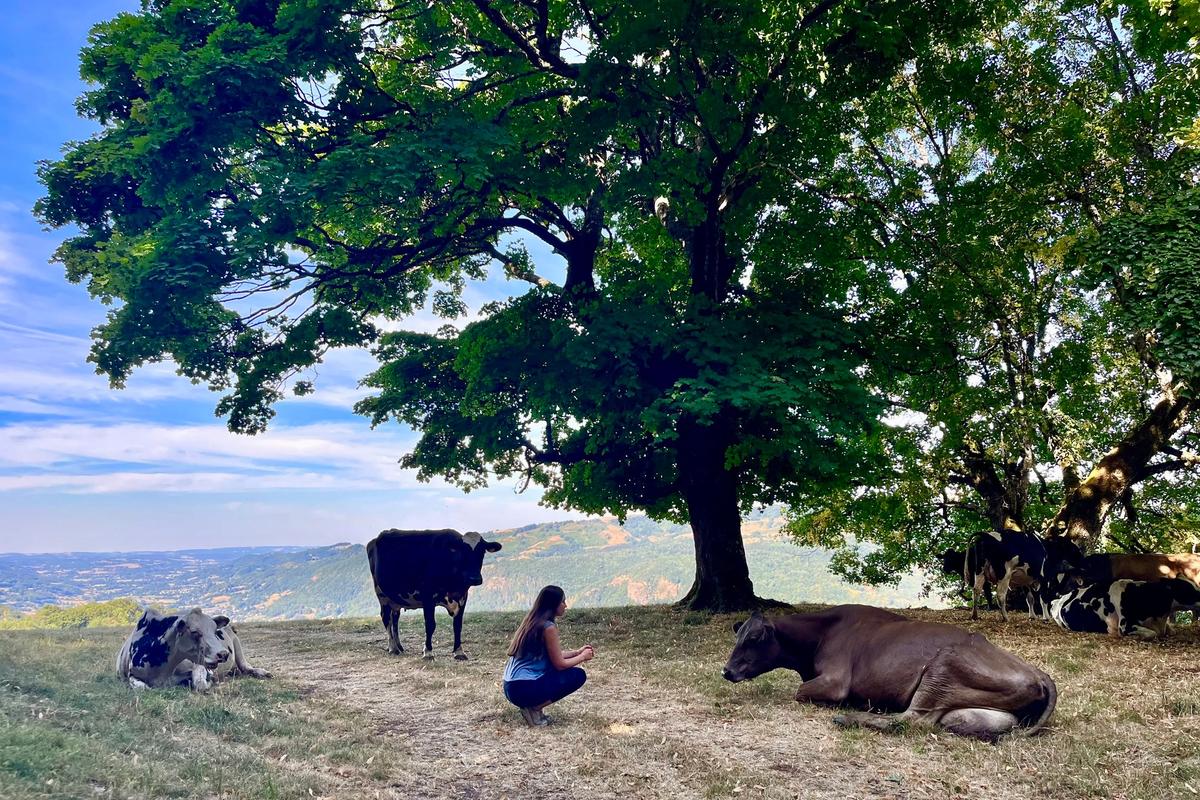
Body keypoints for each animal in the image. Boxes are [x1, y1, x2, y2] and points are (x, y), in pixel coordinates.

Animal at [115, 607, 268, 691]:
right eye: (194, 632)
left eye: (215, 631)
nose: (223, 654)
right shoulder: (130, 676)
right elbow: (143, 688)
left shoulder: (200, 665)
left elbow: (200, 683)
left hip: (237, 644)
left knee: (246, 666)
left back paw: (262, 672)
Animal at [366, 528, 502, 660]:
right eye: (462, 552)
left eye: (482, 551)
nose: (474, 578)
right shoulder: (428, 597)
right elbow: (430, 624)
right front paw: (428, 652)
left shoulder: (462, 597)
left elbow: (457, 625)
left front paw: (459, 652)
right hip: (381, 594)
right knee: (386, 618)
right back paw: (393, 648)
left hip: (396, 598)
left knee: (395, 618)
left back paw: (399, 646)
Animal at [722, 606, 1057, 741]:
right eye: (738, 635)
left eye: (754, 638)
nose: (726, 671)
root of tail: (1040, 672)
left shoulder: (835, 682)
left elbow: (799, 692)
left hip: (942, 667)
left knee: (912, 720)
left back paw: (849, 717)